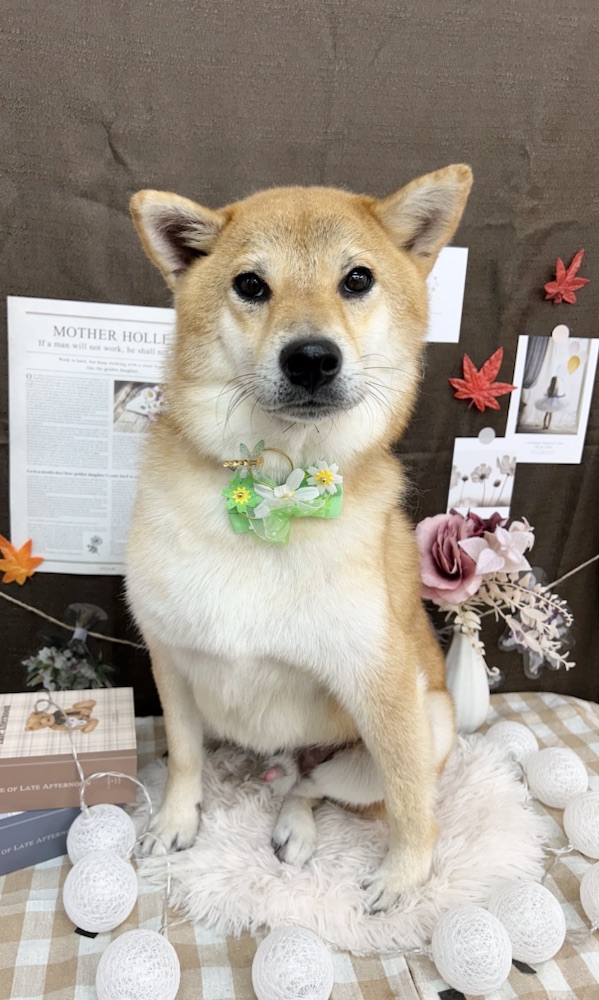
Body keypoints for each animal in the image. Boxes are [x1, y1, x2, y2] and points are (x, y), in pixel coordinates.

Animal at [126, 165, 472, 912]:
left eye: (357, 279)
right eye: (251, 285)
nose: (311, 357)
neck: (273, 492)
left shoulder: (381, 682)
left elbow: (412, 802)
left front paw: (407, 876)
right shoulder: (171, 659)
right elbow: (184, 758)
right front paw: (174, 822)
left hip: (422, 721)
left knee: (321, 789)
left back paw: (300, 829)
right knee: (294, 779)